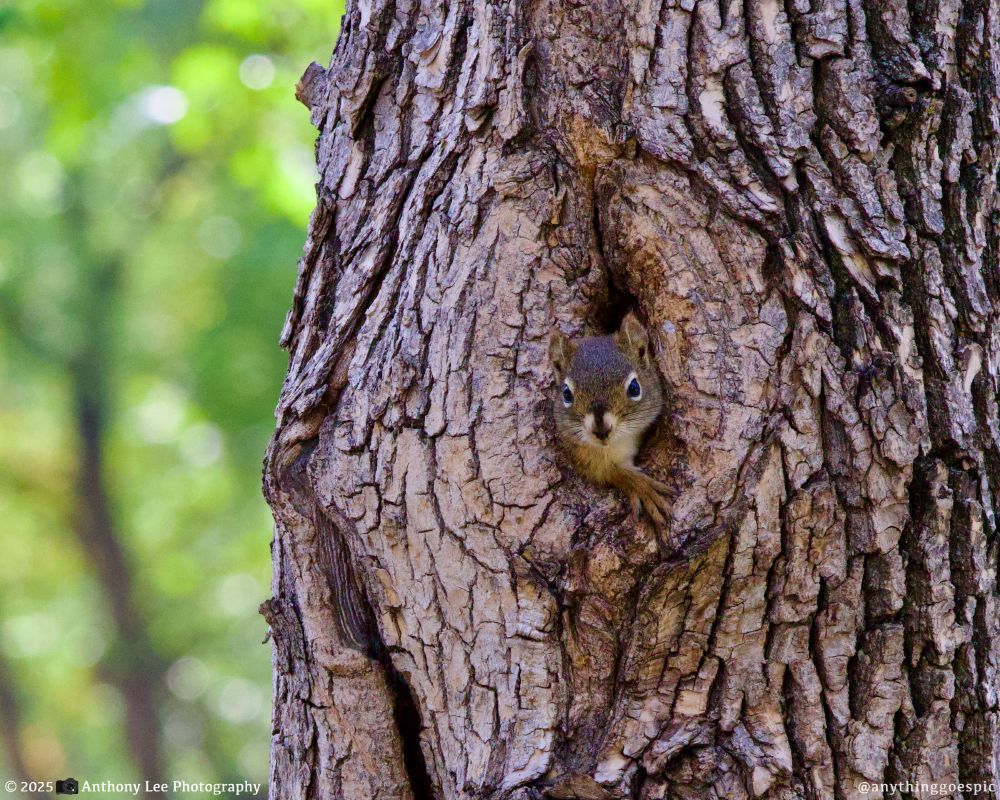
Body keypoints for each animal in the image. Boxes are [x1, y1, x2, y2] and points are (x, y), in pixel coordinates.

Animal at [549, 312, 672, 532]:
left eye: (634, 388)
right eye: (566, 394)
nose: (601, 430)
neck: (618, 443)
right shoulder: (585, 458)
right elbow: (611, 473)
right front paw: (641, 486)